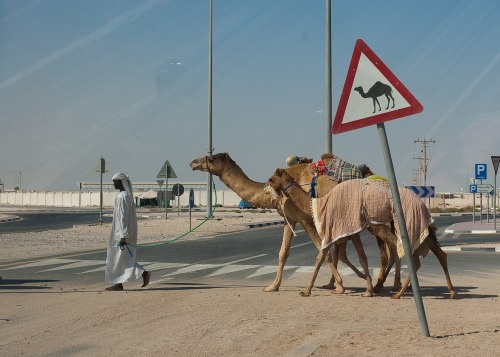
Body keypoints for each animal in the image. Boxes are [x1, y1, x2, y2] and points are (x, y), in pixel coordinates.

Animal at [190, 152, 398, 294]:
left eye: (211, 158)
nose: (193, 162)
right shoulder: (289, 218)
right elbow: (283, 252)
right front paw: (272, 286)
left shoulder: (305, 218)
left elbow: (322, 251)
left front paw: (339, 285)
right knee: (386, 249)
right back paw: (379, 284)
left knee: (389, 248)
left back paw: (386, 285)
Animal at [270, 168, 458, 298]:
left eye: (271, 179)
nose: (270, 191)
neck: (319, 204)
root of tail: (422, 203)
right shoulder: (345, 232)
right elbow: (351, 257)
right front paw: (362, 288)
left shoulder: (337, 229)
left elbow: (323, 257)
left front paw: (306, 290)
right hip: (412, 228)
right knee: (434, 253)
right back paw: (449, 291)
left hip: (390, 226)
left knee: (402, 252)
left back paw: (397, 291)